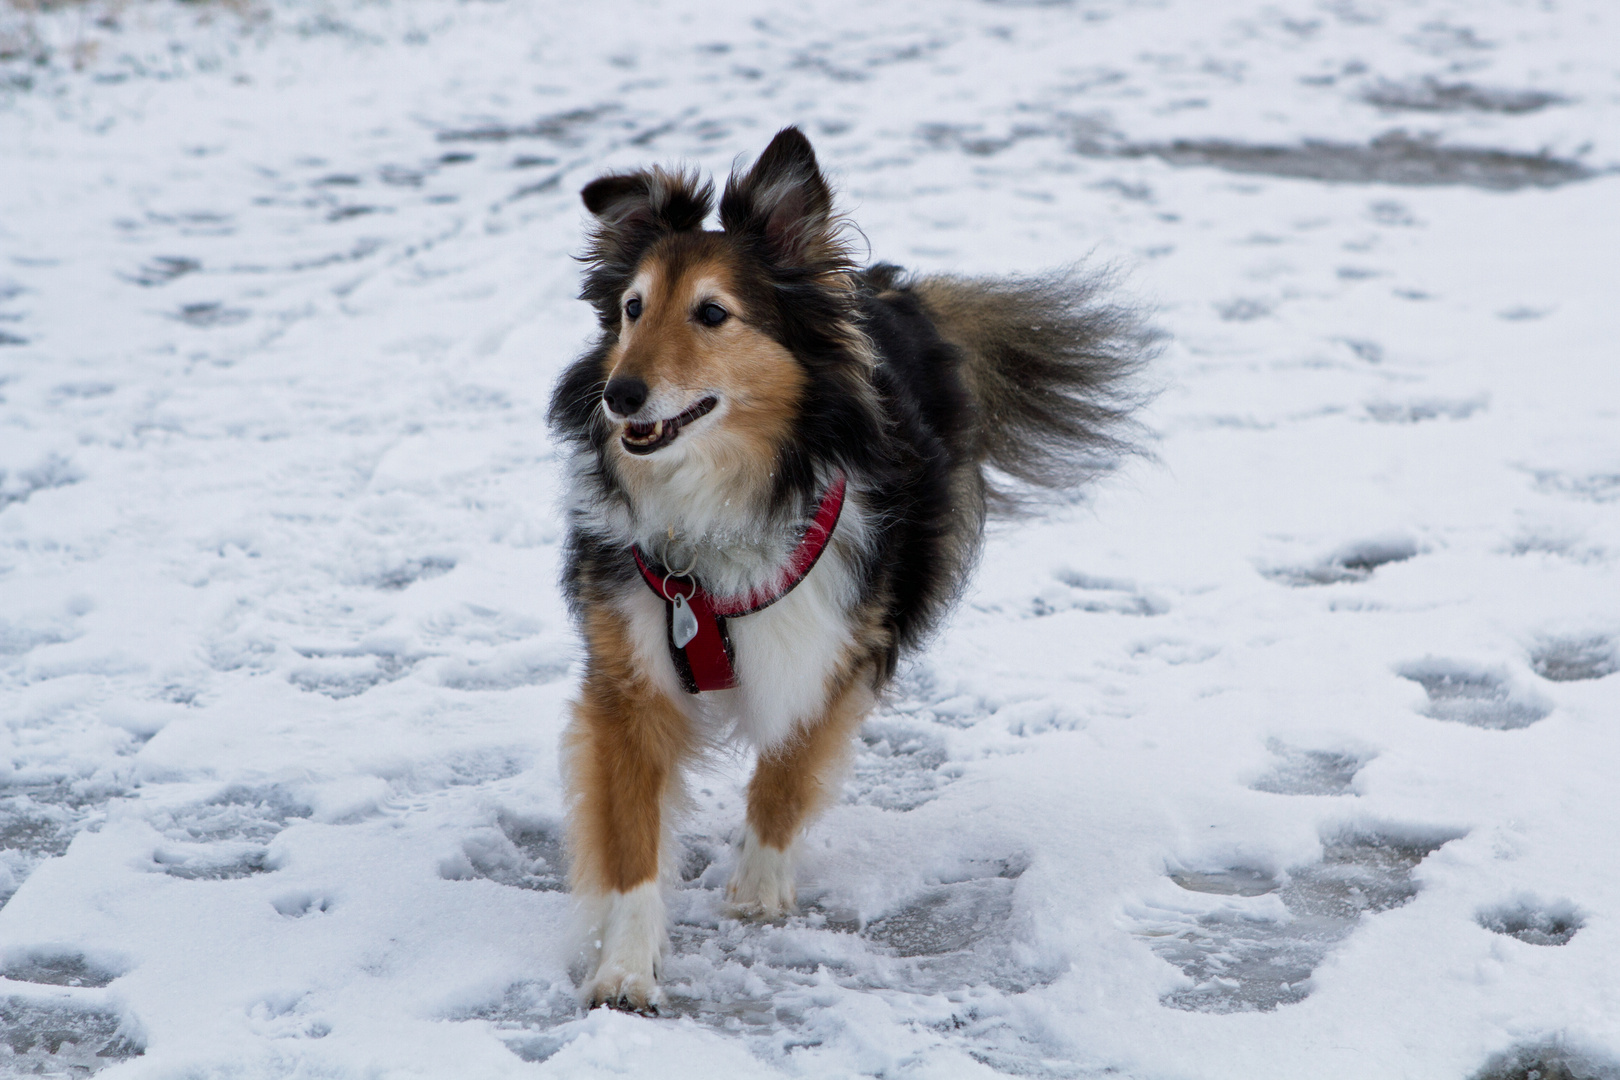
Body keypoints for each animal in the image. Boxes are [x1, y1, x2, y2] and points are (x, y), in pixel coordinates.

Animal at [547, 127, 1153, 1016]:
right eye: (632, 308)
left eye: (712, 313)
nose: (620, 397)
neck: (726, 501)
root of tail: (892, 288)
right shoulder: (631, 674)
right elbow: (631, 844)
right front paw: (624, 970)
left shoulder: (837, 639)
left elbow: (788, 770)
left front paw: (758, 887)